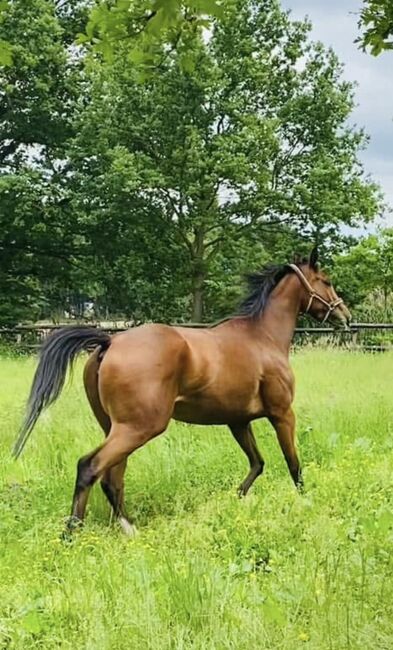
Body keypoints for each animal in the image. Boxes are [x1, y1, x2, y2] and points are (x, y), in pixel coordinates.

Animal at [13, 246, 350, 536]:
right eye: (327, 281)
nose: (344, 316)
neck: (263, 337)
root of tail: (110, 341)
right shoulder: (282, 414)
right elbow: (293, 464)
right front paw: (306, 503)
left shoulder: (238, 421)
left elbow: (257, 463)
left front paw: (235, 501)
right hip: (140, 427)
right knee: (90, 467)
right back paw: (74, 533)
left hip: (115, 427)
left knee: (112, 476)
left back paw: (125, 527)